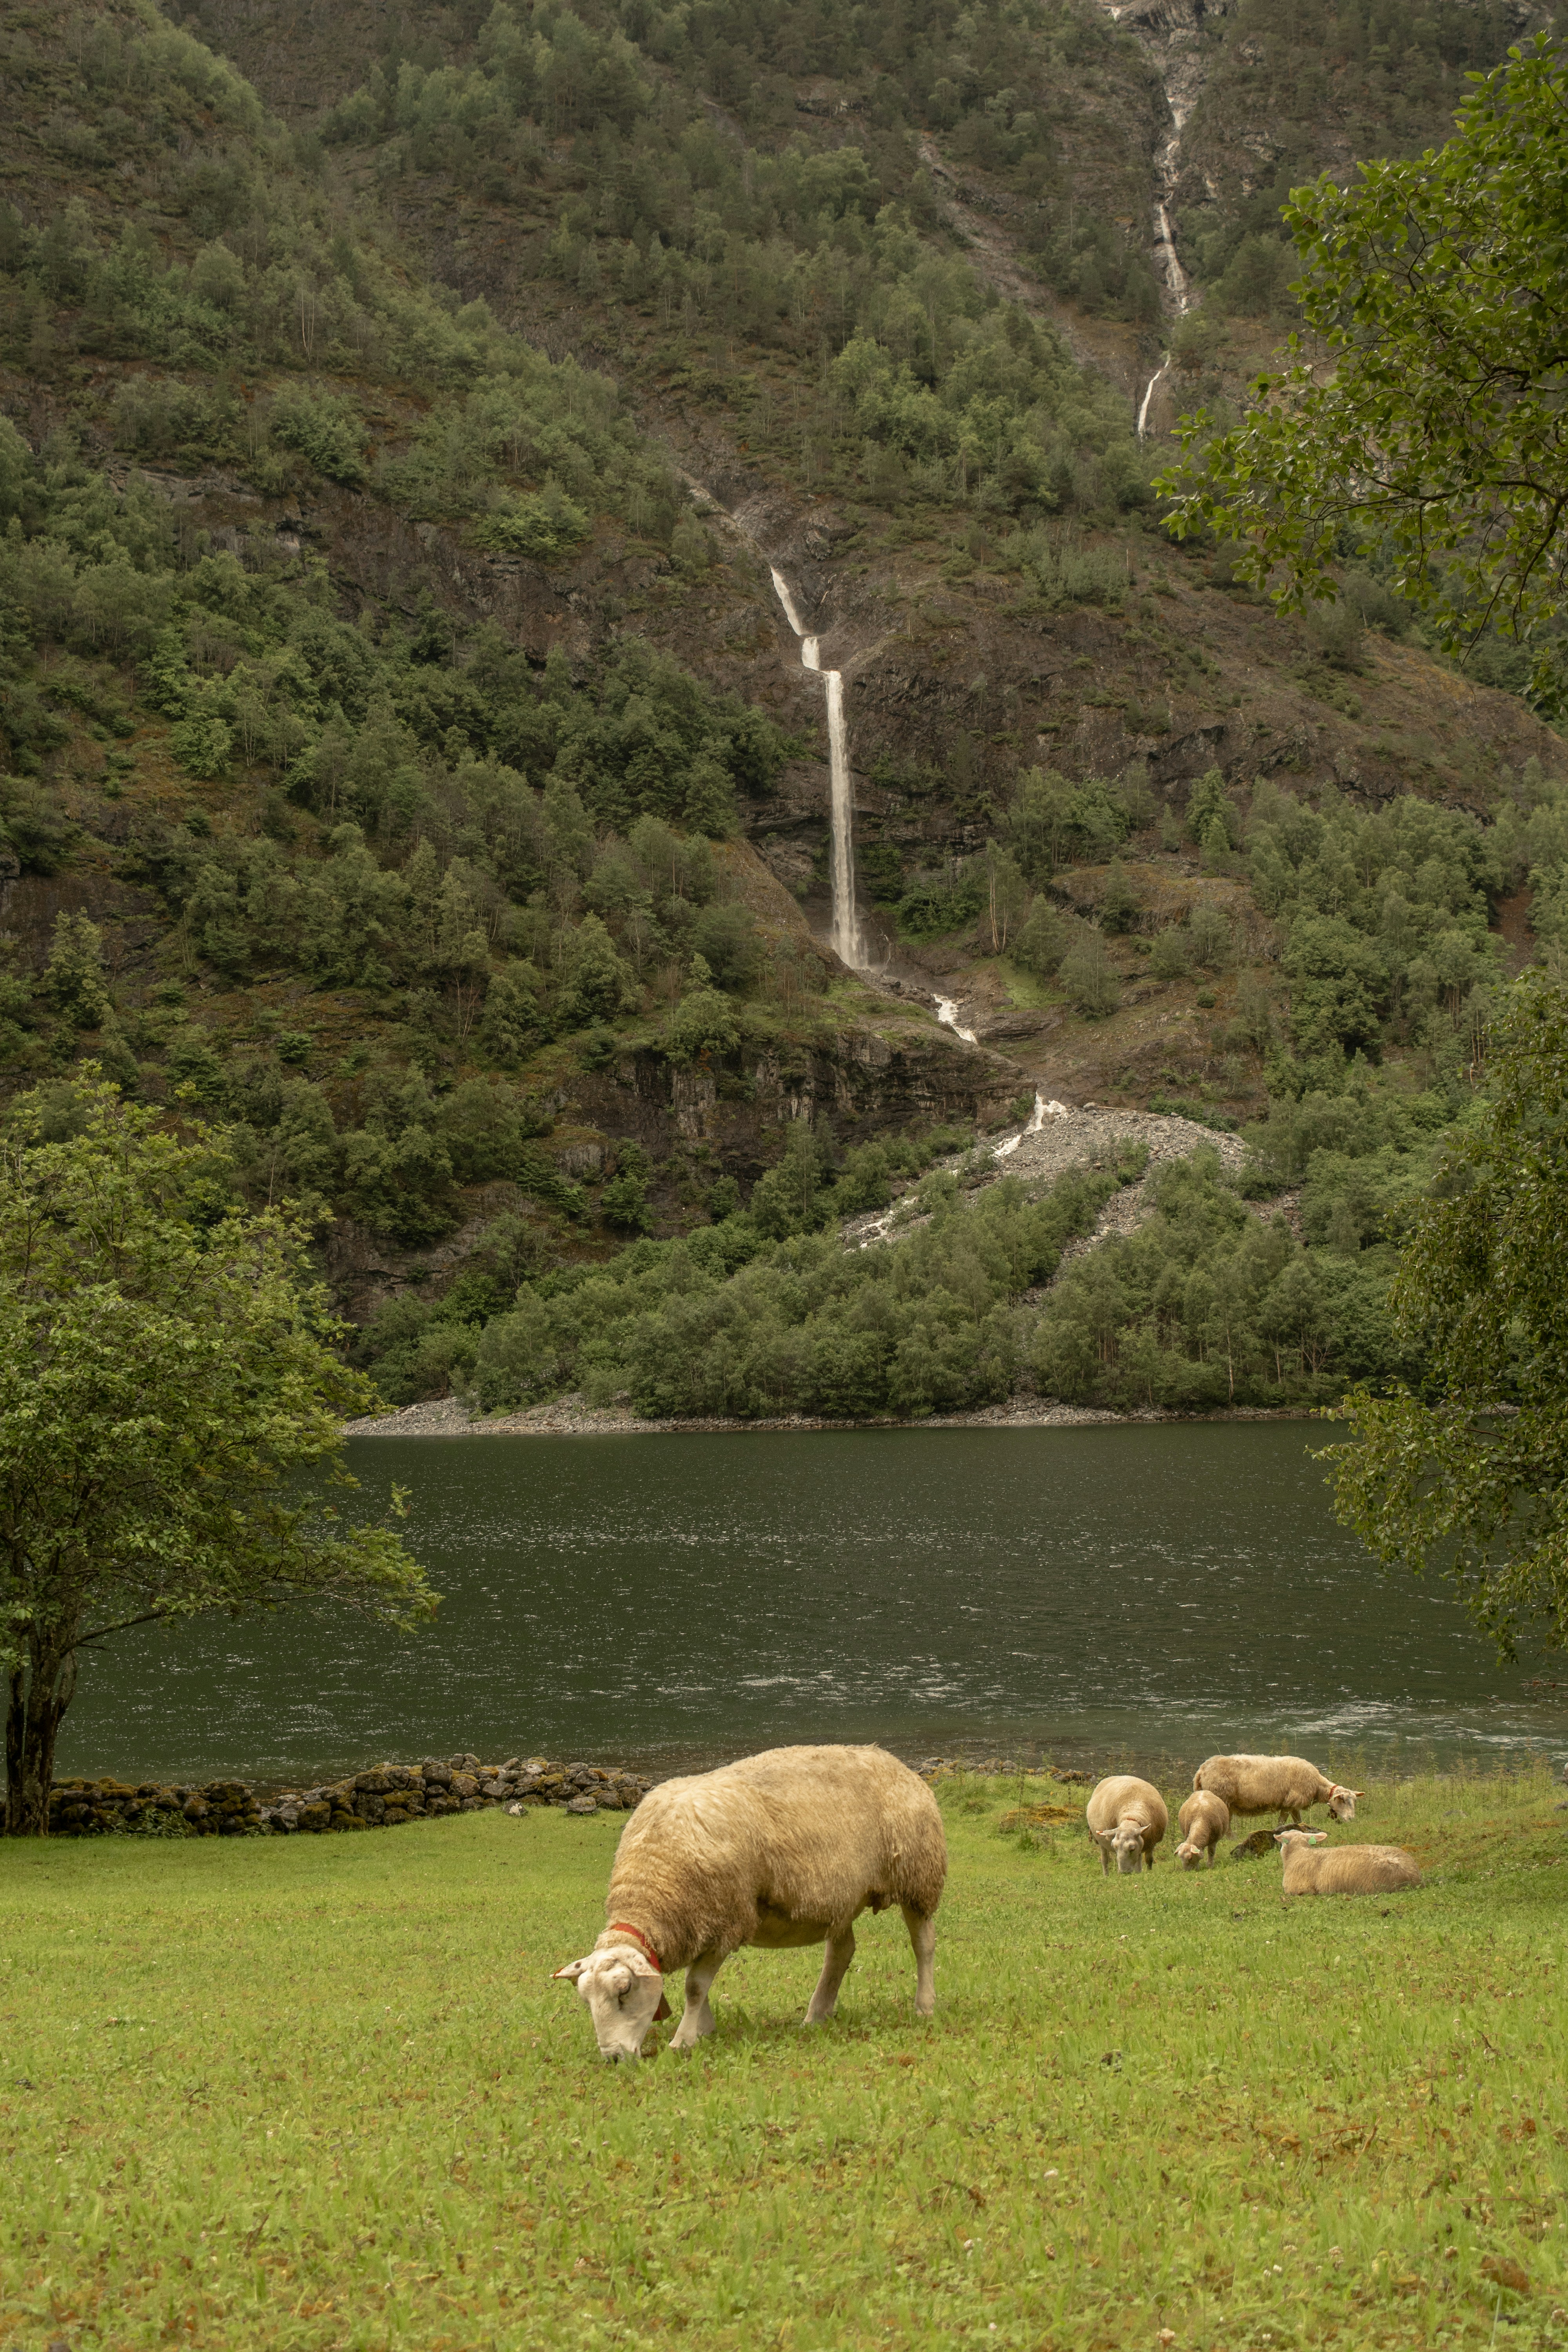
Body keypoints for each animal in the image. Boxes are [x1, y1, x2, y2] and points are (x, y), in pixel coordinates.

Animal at [552, 1744, 948, 2061]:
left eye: (624, 1991)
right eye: (586, 2000)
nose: (613, 2058)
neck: (653, 1882)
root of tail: (894, 1761)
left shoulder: (725, 1921)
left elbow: (694, 1988)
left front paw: (683, 2040)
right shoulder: (697, 1921)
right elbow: (696, 1987)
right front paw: (704, 2030)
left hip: (919, 1877)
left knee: (924, 1945)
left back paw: (925, 2006)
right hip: (842, 1896)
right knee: (842, 1951)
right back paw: (817, 2015)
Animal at [1085, 1774, 1168, 1875]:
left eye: (1132, 1849)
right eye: (1115, 1847)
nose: (1124, 1873)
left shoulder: (1151, 1843)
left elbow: (1149, 1860)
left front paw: (1148, 1873)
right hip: (1101, 1842)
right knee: (1105, 1860)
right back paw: (1106, 1876)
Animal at [1175, 1788, 1230, 1868]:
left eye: (1190, 1858)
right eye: (1181, 1859)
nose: (1187, 1871)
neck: (1200, 1818)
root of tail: (1202, 1791)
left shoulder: (1214, 1840)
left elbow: (1211, 1852)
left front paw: (1210, 1866)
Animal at [1193, 1753, 1360, 1828]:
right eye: (1343, 1800)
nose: (1352, 1820)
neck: (1317, 1785)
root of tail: (1201, 1770)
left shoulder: (1293, 1805)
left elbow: (1298, 1821)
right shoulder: (1290, 1802)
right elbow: (1281, 1823)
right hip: (1221, 1798)